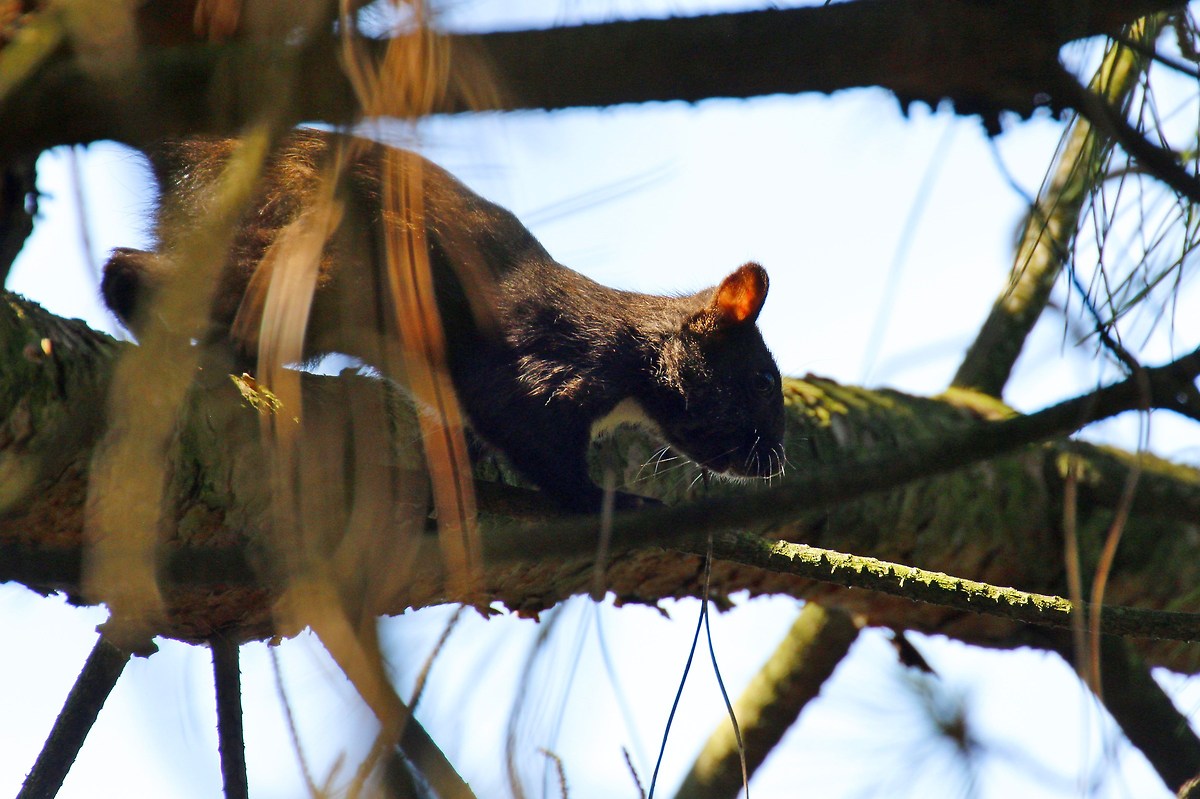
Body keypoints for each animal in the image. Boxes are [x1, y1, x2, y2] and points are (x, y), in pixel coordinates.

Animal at [101, 129, 786, 512]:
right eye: (760, 381)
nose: (776, 464)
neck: (635, 355)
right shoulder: (554, 362)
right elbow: (532, 436)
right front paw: (608, 501)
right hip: (290, 259)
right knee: (129, 279)